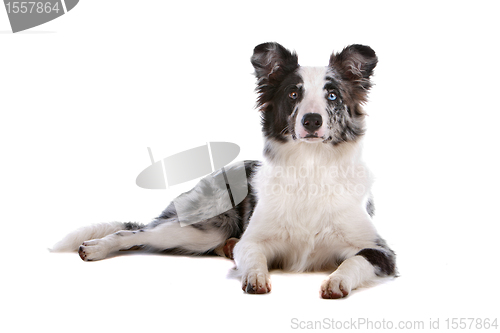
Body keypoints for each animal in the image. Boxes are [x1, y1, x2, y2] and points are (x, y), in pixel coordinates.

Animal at [52, 42, 396, 298]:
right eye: (293, 94)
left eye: (333, 95)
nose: (311, 121)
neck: (310, 169)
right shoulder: (253, 240)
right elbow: (253, 255)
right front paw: (255, 276)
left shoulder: (381, 252)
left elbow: (353, 263)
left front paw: (337, 280)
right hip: (199, 228)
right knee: (134, 232)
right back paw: (97, 247)